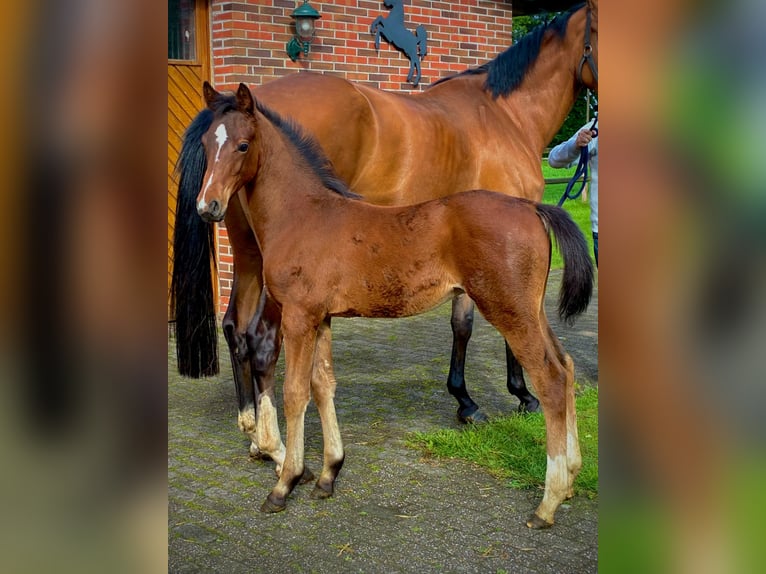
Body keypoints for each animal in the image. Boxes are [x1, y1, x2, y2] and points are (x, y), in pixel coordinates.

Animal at [171, 1, 598, 459]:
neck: (505, 114)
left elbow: (463, 323)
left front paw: (469, 397)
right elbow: (474, 325)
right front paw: (510, 395)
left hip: (249, 253)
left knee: (234, 327)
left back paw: (253, 430)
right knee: (259, 338)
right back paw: (274, 443)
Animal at [195, 82, 593, 527]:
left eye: (243, 145)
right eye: (206, 143)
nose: (207, 206)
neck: (304, 214)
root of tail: (533, 207)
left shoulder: (299, 317)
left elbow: (295, 392)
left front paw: (285, 485)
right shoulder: (322, 318)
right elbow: (323, 385)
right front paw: (329, 474)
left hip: (510, 310)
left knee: (551, 380)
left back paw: (548, 502)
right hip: (531, 309)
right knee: (566, 366)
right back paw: (571, 478)